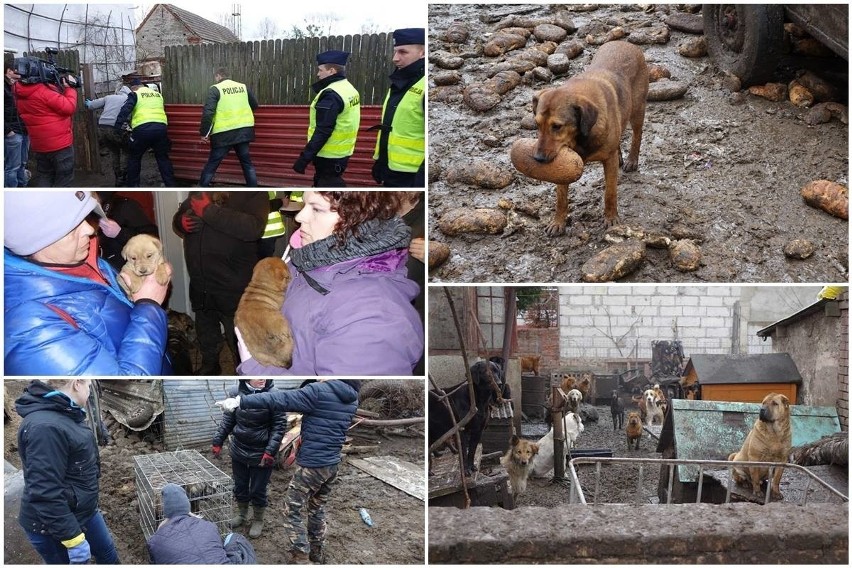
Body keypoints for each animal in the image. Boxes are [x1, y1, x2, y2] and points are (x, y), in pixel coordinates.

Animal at [532, 40, 644, 235]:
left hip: (638, 110)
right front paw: (558, 222)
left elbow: (610, 193)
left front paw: (611, 218)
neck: (580, 138)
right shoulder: (564, 166)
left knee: (637, 136)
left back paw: (631, 160)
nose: (537, 158)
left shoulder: (608, 161)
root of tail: (625, 42)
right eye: (537, 124)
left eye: (557, 126)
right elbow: (561, 197)